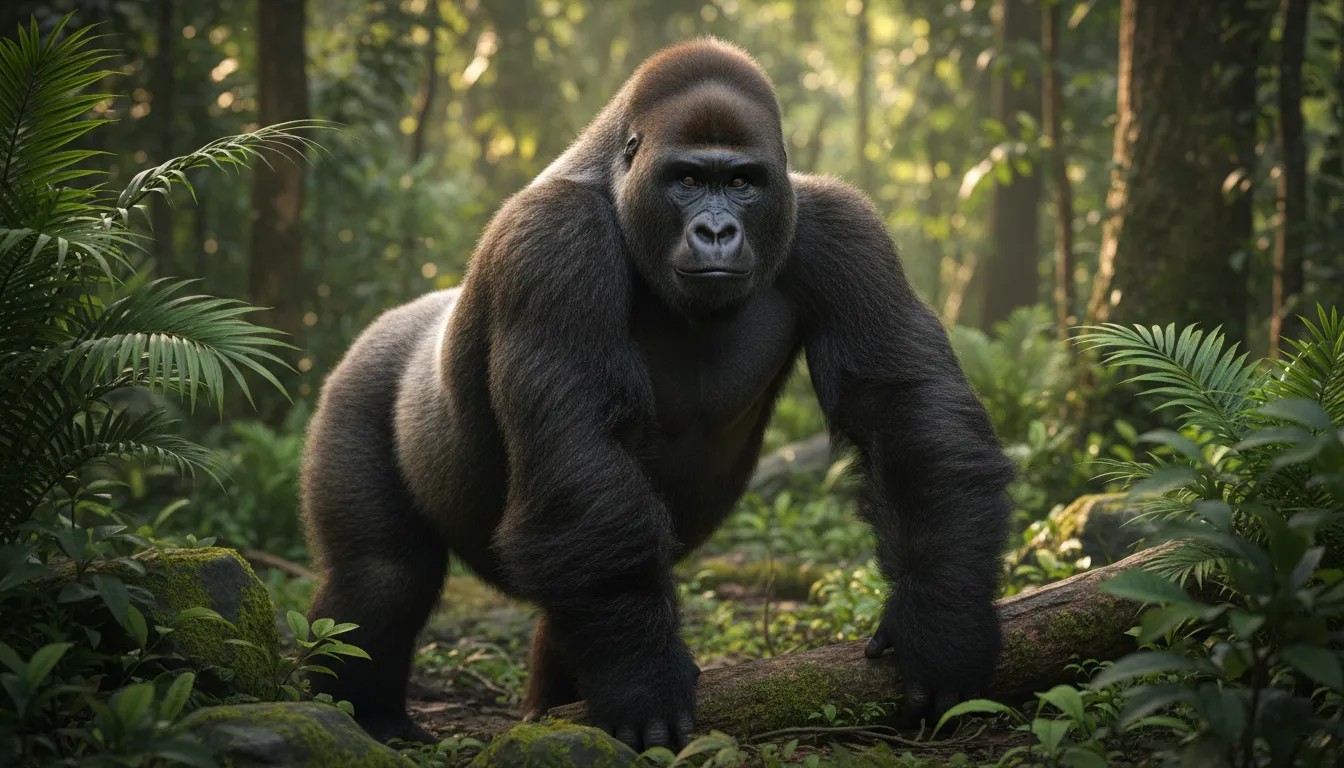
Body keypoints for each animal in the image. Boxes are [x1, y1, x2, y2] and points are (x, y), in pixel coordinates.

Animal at [300, 37, 1014, 752]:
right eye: (688, 180)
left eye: (742, 183)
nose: (717, 233)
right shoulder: (553, 242)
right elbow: (581, 453)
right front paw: (640, 677)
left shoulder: (845, 228)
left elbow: (902, 408)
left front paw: (941, 618)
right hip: (357, 384)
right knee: (383, 575)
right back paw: (368, 714)